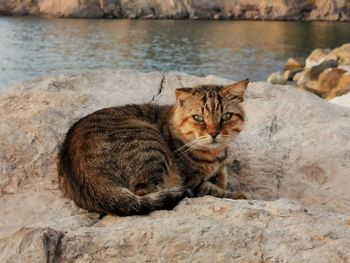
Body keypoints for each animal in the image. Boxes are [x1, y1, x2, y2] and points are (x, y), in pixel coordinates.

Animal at [58, 80, 249, 217]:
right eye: (198, 118)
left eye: (226, 116)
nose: (214, 133)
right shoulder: (191, 180)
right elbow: (212, 189)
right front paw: (238, 195)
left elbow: (222, 176)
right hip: (149, 145)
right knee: (148, 191)